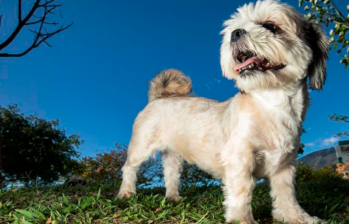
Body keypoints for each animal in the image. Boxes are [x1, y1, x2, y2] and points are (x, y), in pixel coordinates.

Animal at [117, 0, 326, 223]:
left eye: (270, 26)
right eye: (232, 29)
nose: (236, 33)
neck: (273, 104)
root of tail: (158, 97)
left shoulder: (284, 167)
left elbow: (287, 196)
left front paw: (298, 217)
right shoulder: (239, 159)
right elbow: (241, 194)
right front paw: (242, 220)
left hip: (173, 156)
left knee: (171, 174)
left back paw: (173, 197)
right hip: (141, 146)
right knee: (129, 168)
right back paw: (126, 193)